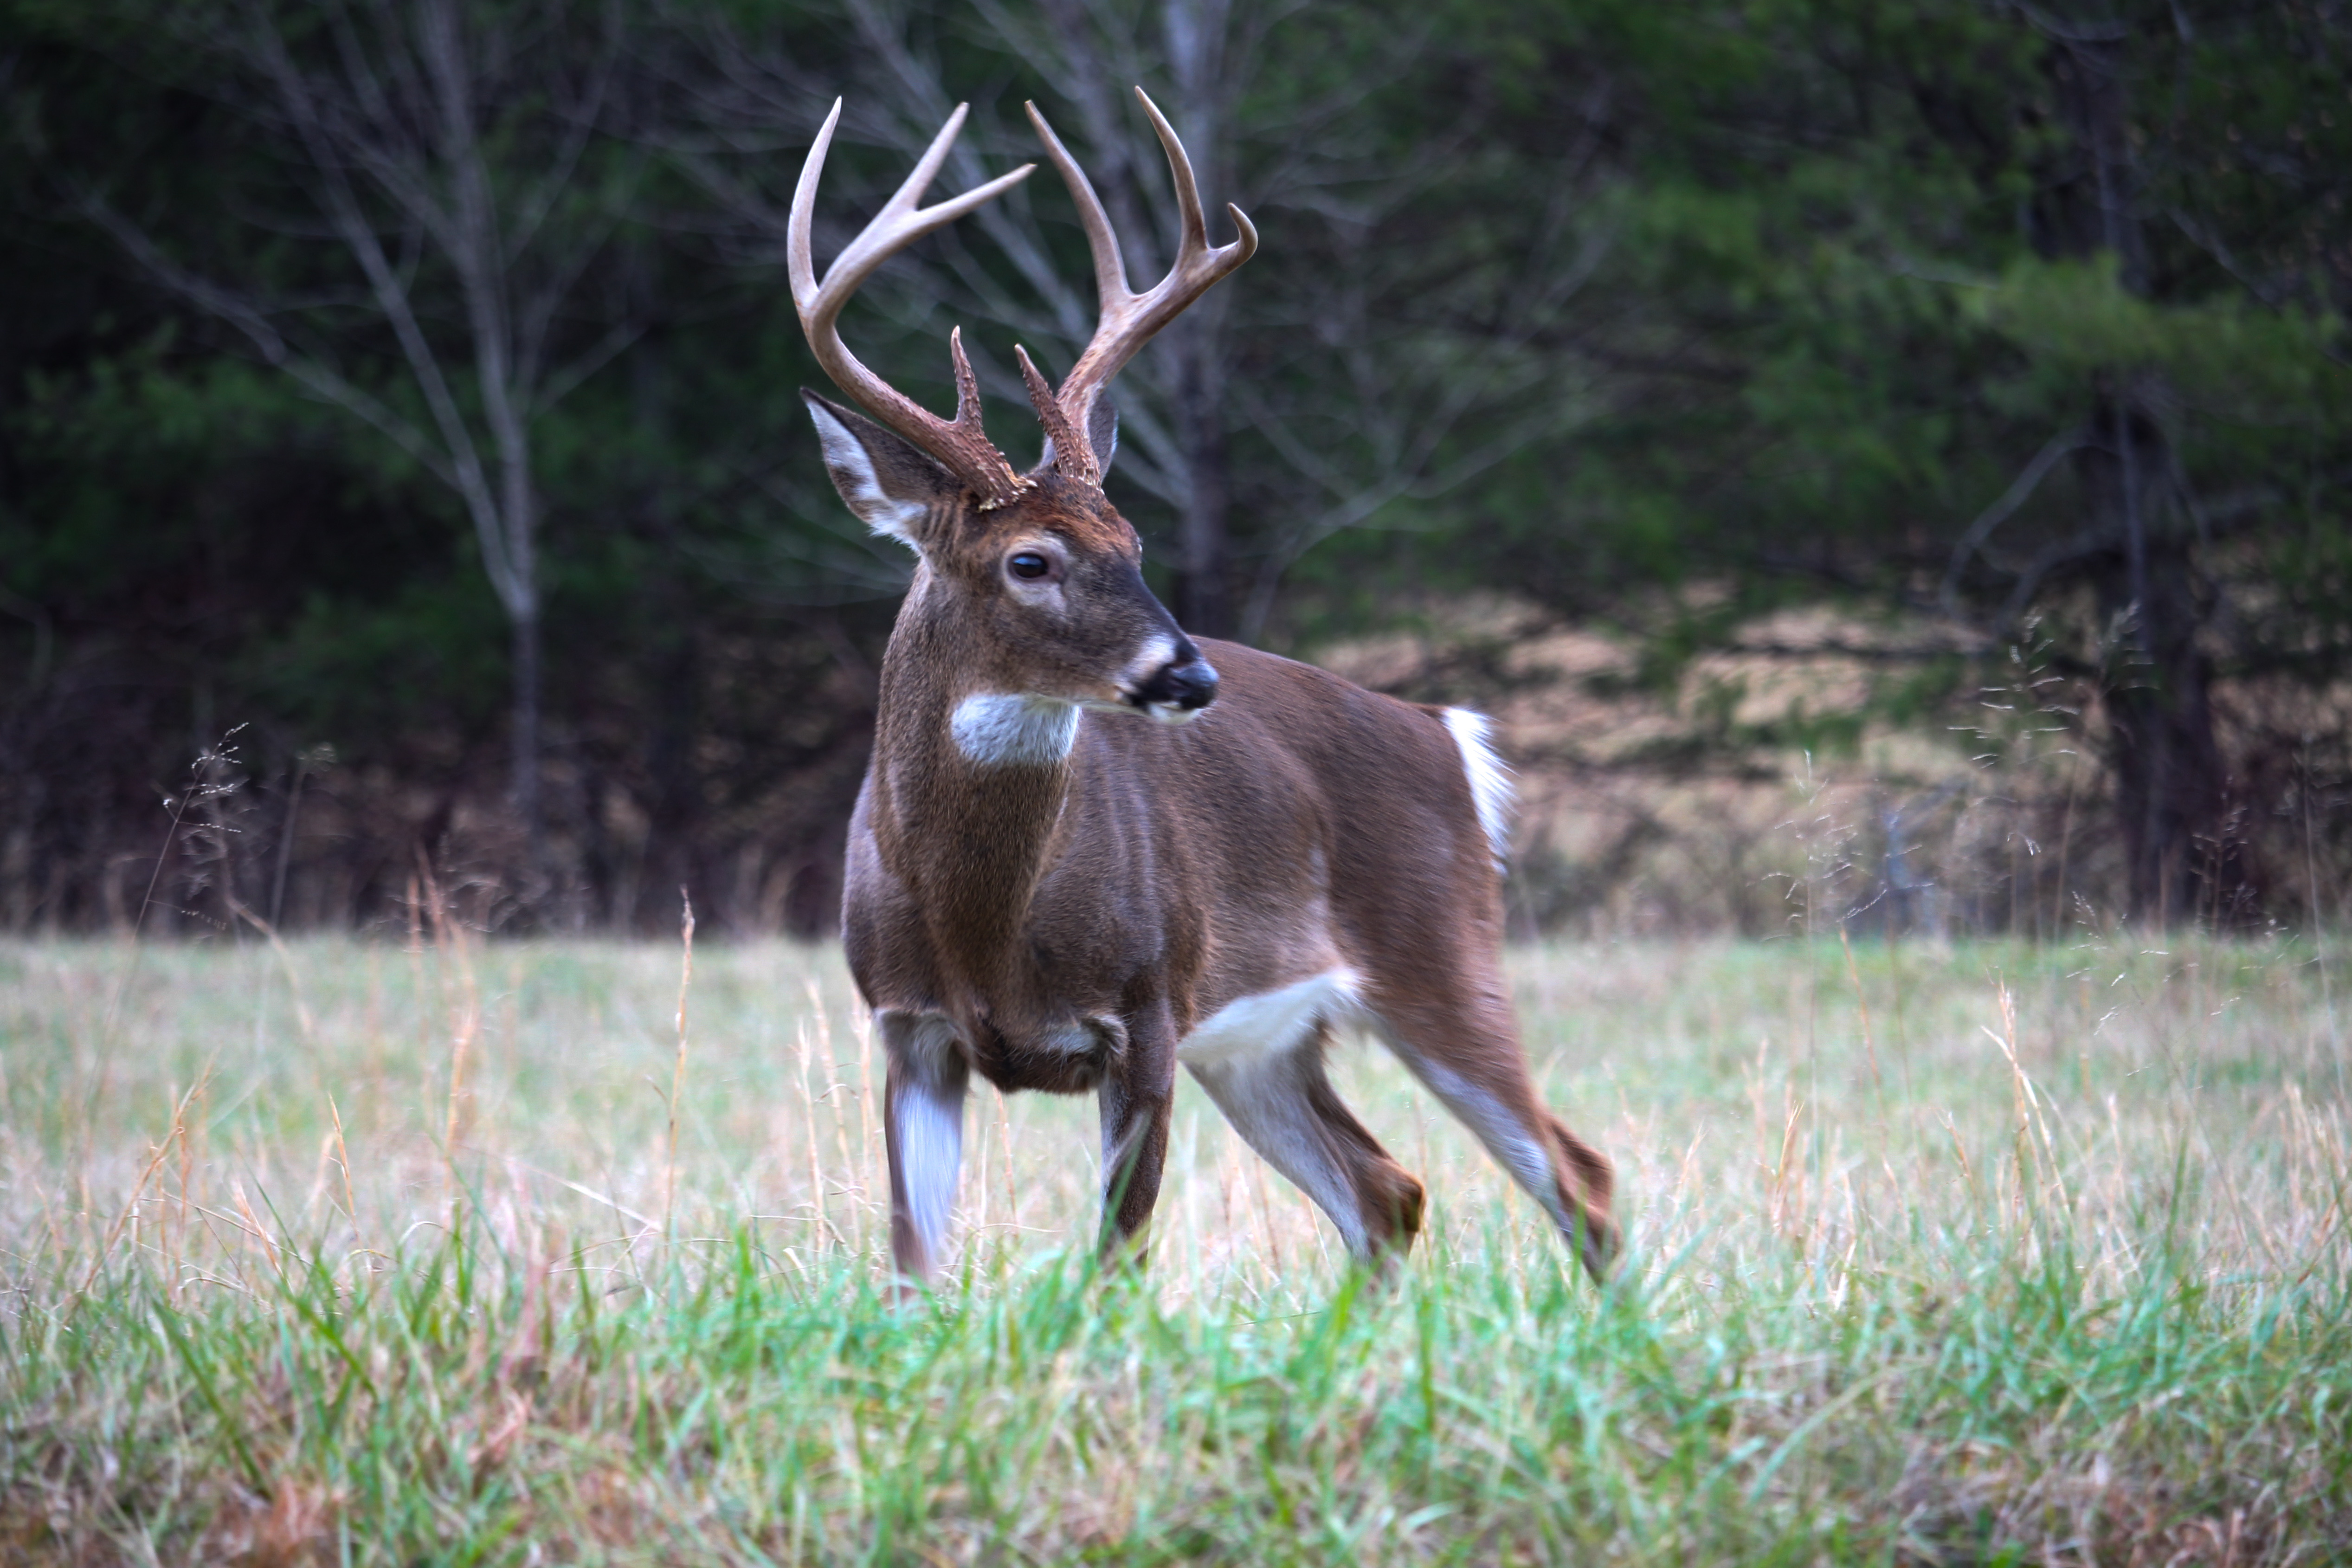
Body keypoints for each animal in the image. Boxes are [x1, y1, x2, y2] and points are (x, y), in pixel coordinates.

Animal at [790, 88, 1617, 1291]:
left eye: (1132, 541)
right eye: (1029, 559)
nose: (1186, 670)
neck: (983, 925)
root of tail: (1449, 737)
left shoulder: (1145, 1010)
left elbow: (1115, 1259)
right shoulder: (907, 1029)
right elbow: (911, 1269)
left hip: (1441, 950)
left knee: (1575, 1176)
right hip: (1266, 1040)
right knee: (1387, 1189)